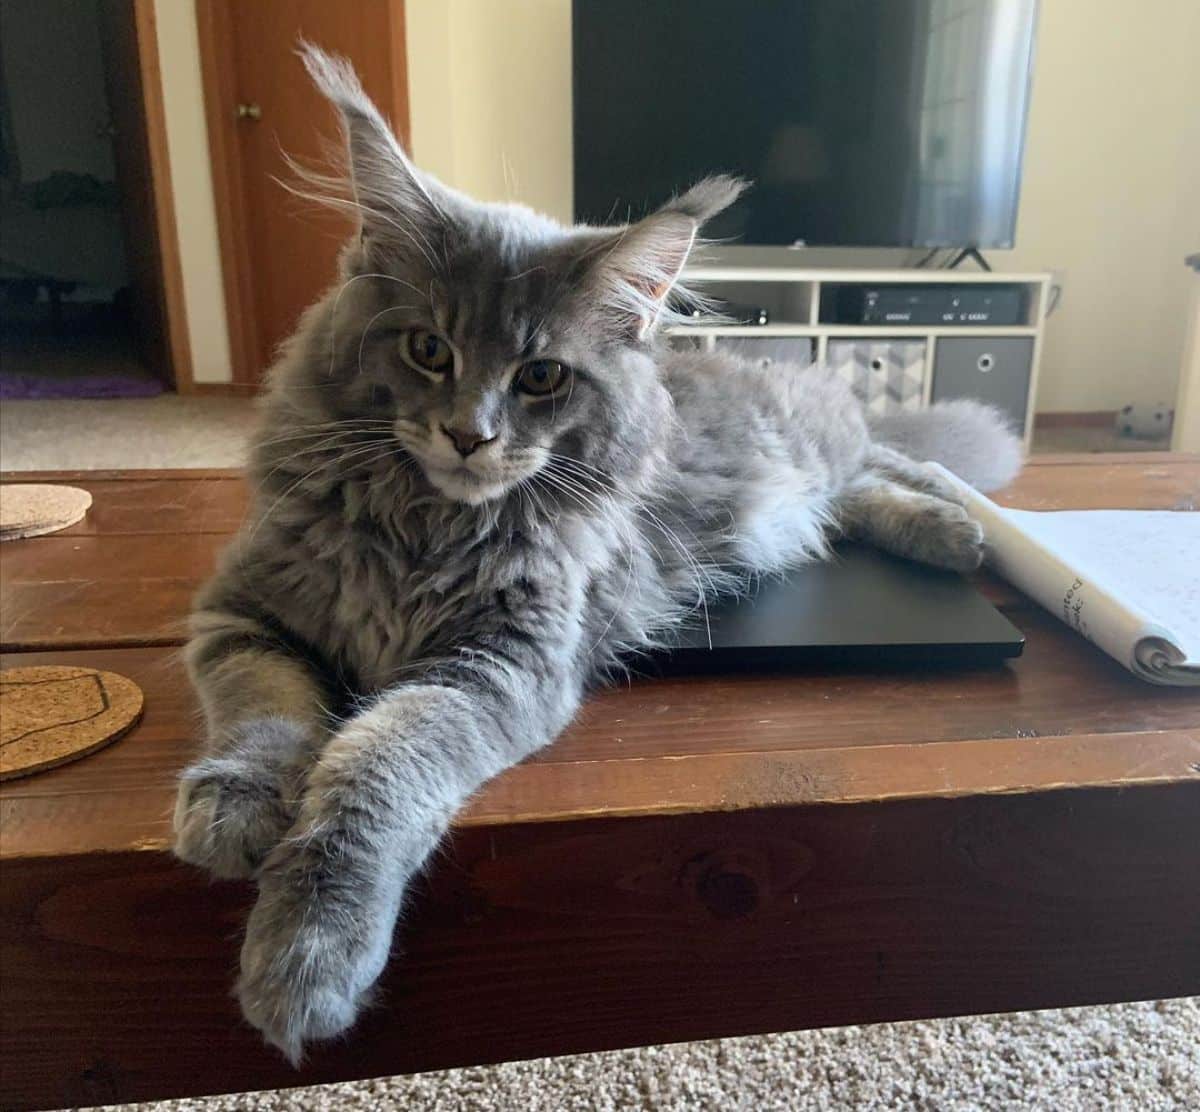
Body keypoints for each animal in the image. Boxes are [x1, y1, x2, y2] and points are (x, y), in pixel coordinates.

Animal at [175, 47, 1022, 1065]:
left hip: (813, 452)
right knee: (863, 489)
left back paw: (965, 525)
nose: (469, 436)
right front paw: (235, 808)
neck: (423, 526)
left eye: (541, 376)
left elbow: (371, 772)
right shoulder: (242, 614)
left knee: (895, 460)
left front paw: (306, 955)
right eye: (428, 349)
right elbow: (261, 713)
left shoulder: (494, 666)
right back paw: (951, 529)